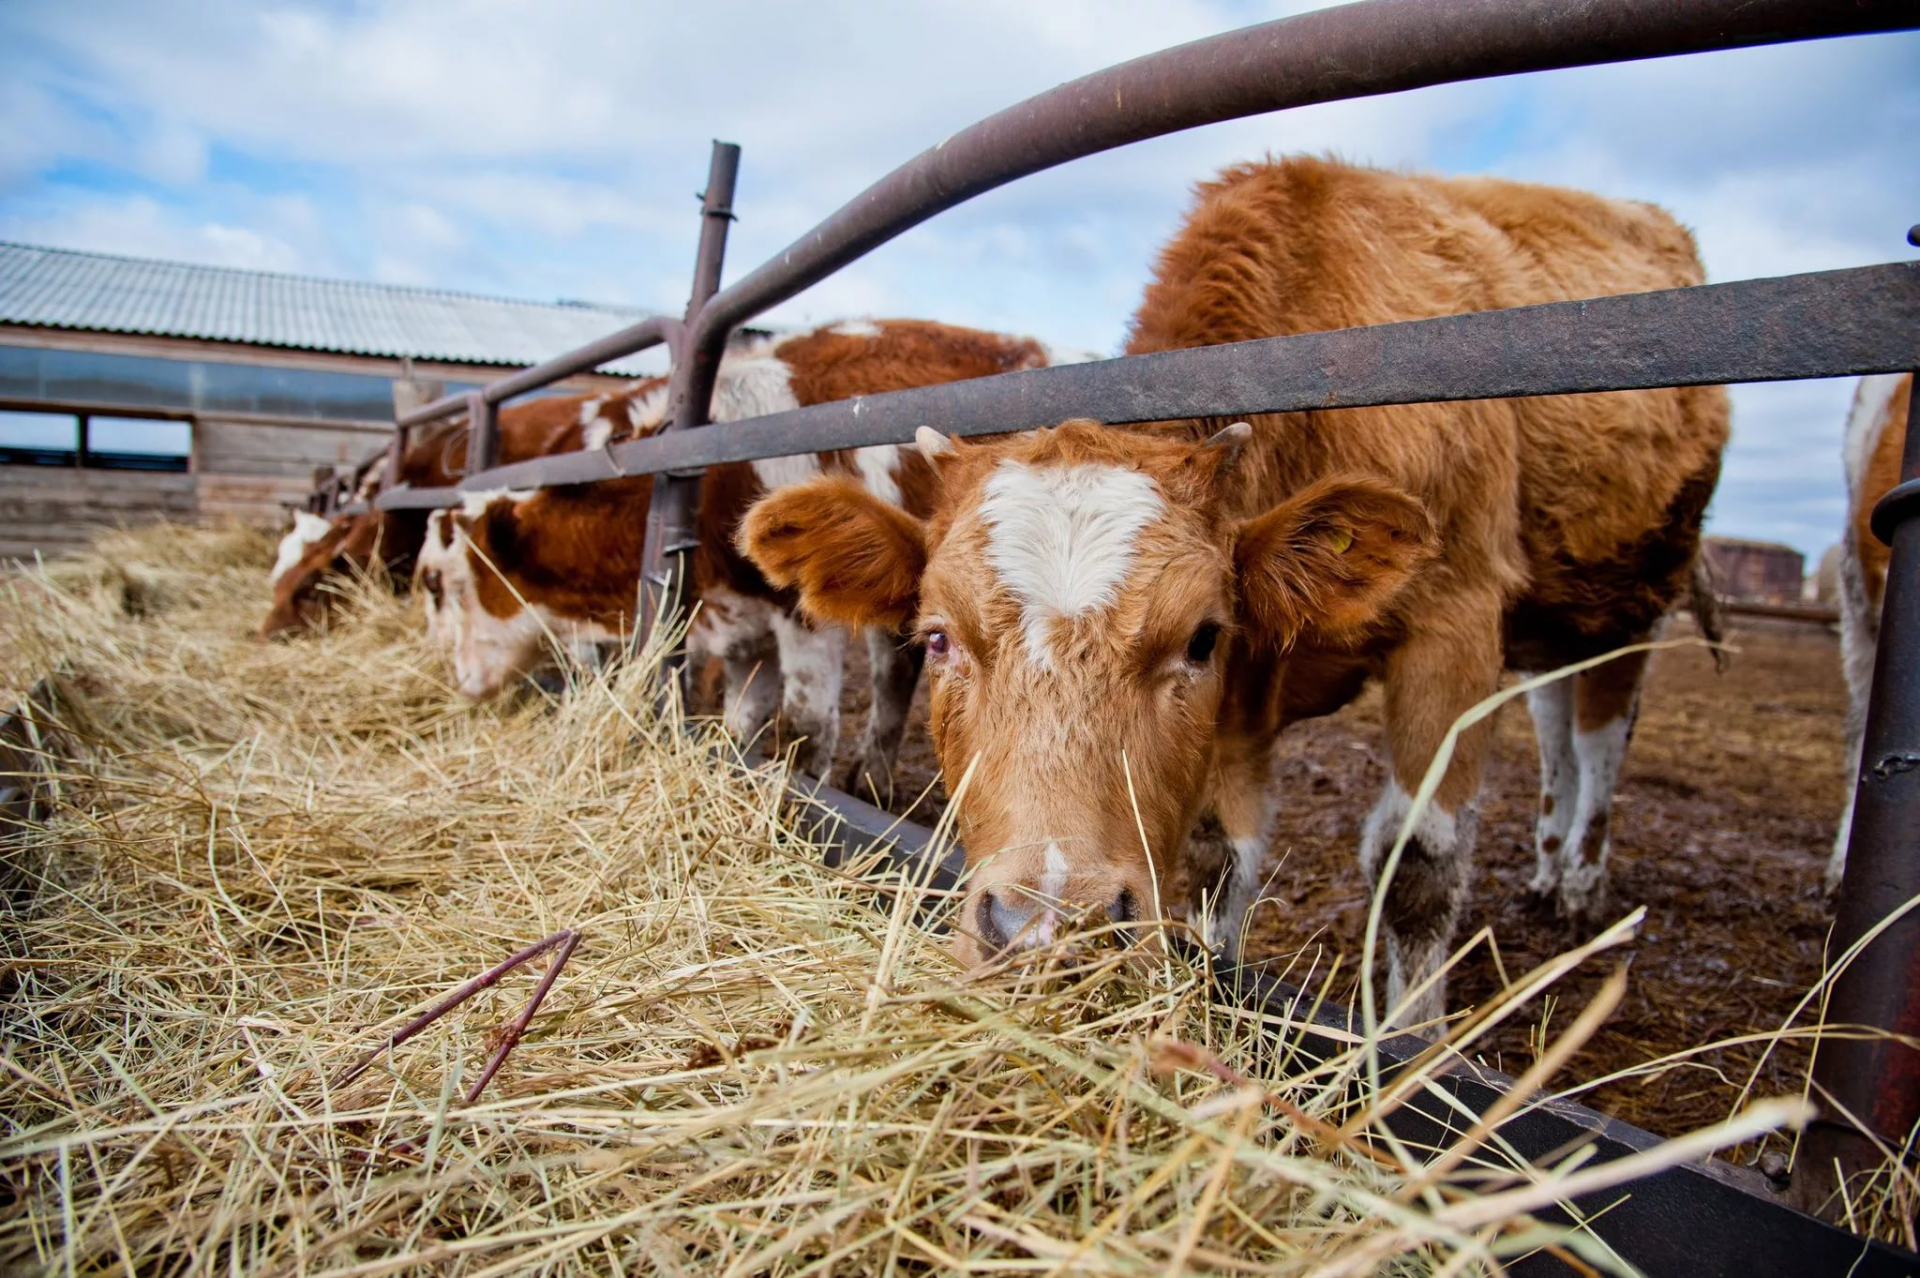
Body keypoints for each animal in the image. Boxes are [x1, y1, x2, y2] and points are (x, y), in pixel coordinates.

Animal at [439, 320, 1098, 786]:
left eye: (458, 585)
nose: (462, 681)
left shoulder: (802, 614)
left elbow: (808, 728)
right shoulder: (741, 623)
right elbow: (741, 722)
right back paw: (872, 779)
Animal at [741, 156, 1735, 1028]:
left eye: (1200, 637)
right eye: (939, 637)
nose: (1047, 929)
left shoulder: (1453, 625)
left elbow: (1419, 866)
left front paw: (1408, 1046)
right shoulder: (1243, 705)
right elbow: (1221, 854)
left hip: (1633, 600)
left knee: (1601, 731)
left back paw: (1580, 880)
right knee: (1559, 726)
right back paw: (1549, 866)